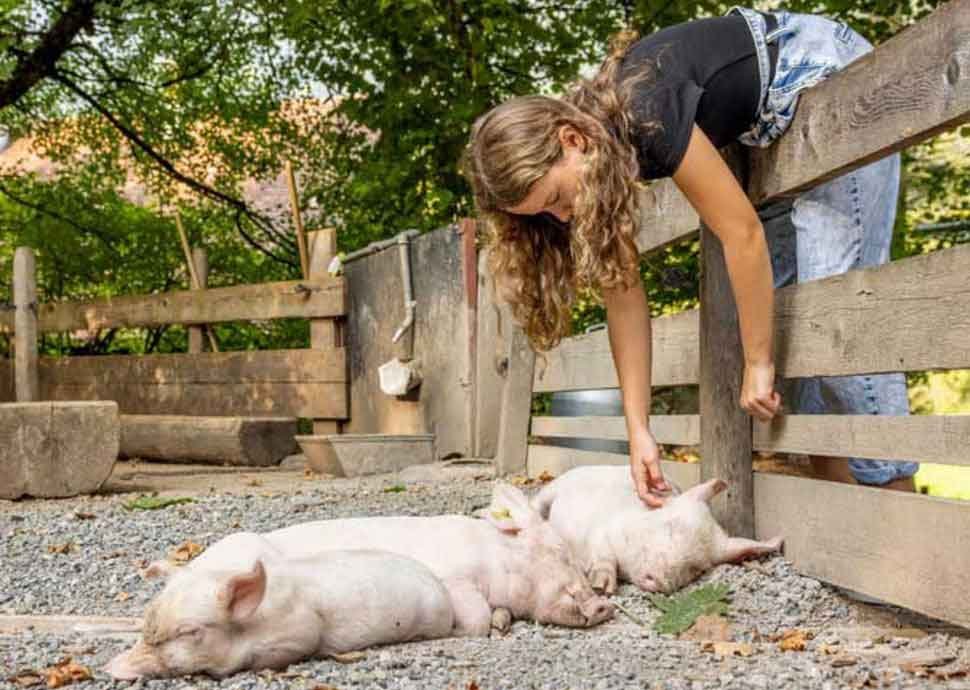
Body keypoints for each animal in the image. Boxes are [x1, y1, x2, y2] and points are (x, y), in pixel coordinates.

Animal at [528, 468, 780, 592]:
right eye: (670, 527)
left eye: (697, 568)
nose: (659, 580)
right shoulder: (603, 531)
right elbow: (604, 556)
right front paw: (602, 587)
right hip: (554, 487)